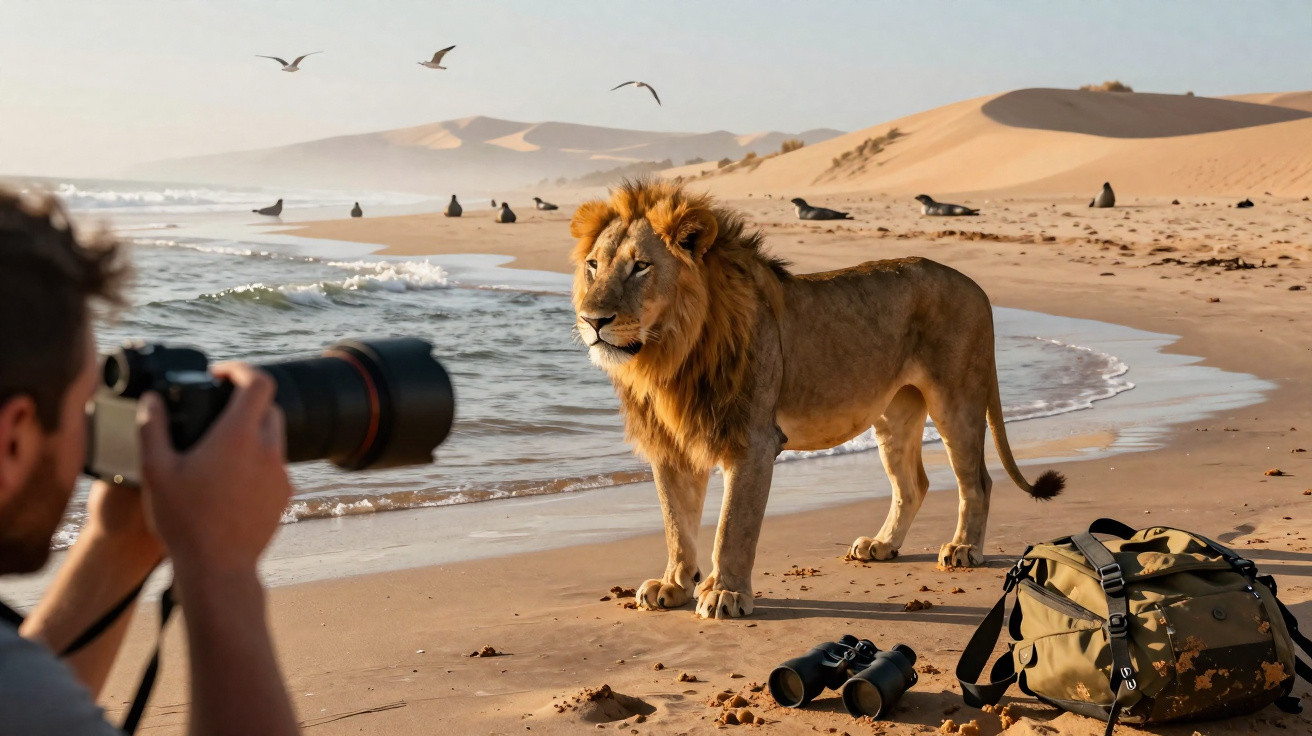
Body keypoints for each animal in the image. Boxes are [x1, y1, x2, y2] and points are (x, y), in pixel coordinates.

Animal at [570, 180, 1063, 619]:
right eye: (593, 265)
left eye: (640, 267)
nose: (592, 320)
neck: (670, 355)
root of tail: (977, 288)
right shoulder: (670, 445)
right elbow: (676, 521)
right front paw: (673, 585)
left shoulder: (752, 441)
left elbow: (733, 527)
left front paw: (725, 593)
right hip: (895, 414)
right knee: (913, 484)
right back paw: (882, 545)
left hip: (956, 400)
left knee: (976, 480)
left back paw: (963, 548)